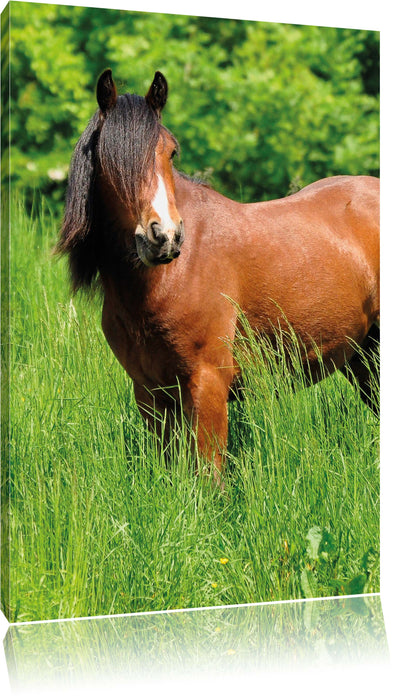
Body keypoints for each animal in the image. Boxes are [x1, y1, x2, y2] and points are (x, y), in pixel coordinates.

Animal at [58, 69, 380, 485]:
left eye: (170, 151)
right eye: (108, 157)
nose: (164, 237)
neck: (168, 278)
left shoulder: (208, 383)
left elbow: (209, 477)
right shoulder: (152, 393)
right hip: (364, 358)